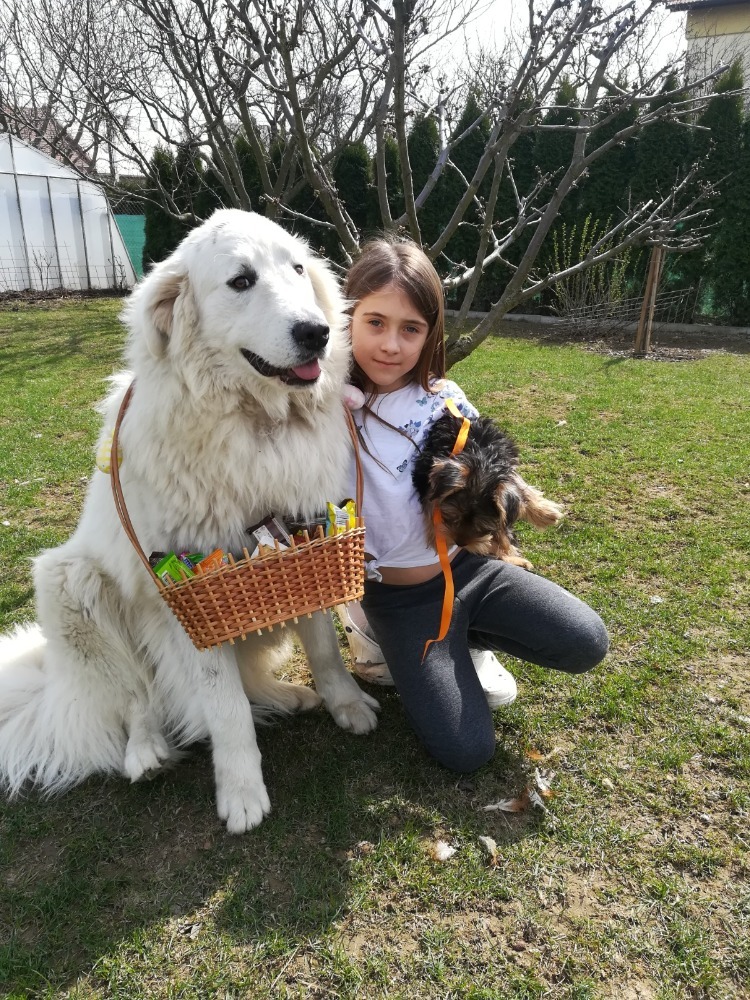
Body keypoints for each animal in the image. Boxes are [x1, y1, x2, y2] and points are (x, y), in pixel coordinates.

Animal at [0, 209, 379, 833]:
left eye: (298, 269)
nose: (316, 332)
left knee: (243, 684)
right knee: (138, 696)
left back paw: (288, 695)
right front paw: (242, 793)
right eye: (241, 281)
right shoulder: (187, 602)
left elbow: (323, 646)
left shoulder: (307, 542)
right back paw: (146, 752)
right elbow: (224, 709)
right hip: (72, 584)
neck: (255, 423)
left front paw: (345, 702)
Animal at [412, 409, 563, 569]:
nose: (460, 543)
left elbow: (519, 486)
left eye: (482, 528)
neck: (481, 461)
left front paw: (544, 513)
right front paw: (436, 538)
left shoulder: (507, 465)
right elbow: (431, 502)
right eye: (451, 517)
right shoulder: (426, 475)